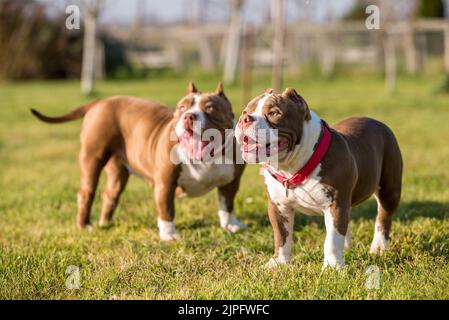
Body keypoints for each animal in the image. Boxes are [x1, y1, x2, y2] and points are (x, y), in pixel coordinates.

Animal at [32, 82, 247, 240]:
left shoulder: (231, 183)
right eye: (181, 107)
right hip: (92, 157)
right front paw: (169, 235)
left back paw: (105, 223)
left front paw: (230, 225)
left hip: (118, 170)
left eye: (210, 108)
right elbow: (166, 209)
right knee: (86, 192)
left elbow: (227, 205)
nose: (188, 116)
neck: (207, 156)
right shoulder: (165, 183)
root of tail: (100, 102)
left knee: (110, 194)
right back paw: (85, 226)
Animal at [234, 87, 402, 268]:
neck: (291, 168)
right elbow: (281, 237)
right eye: (245, 111)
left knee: (383, 217)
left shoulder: (335, 205)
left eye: (273, 113)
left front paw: (332, 266)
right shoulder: (279, 207)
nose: (243, 119)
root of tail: (377, 122)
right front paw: (279, 263)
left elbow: (332, 240)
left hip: (389, 190)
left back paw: (378, 247)